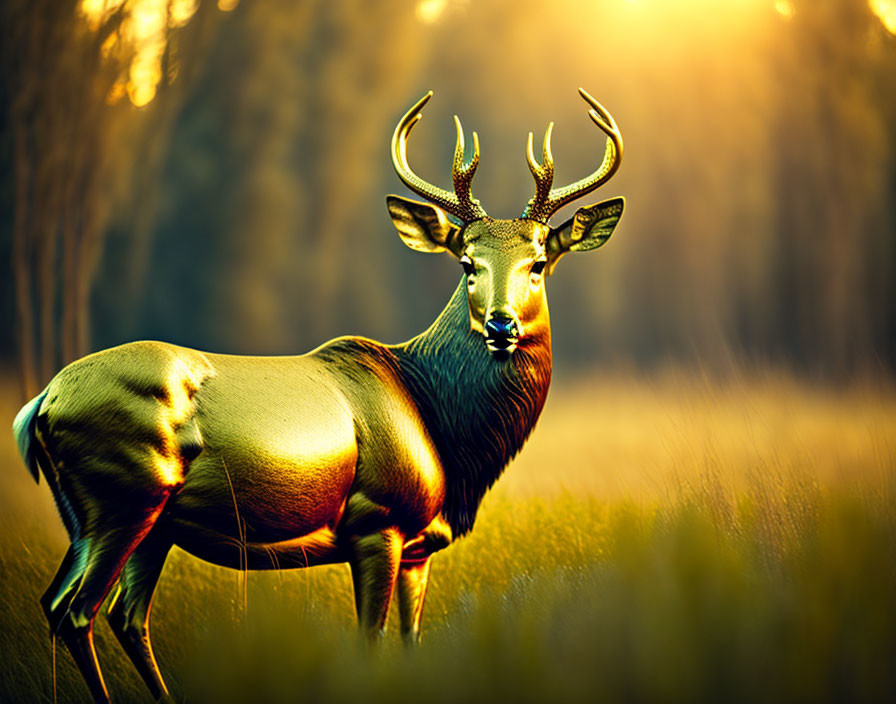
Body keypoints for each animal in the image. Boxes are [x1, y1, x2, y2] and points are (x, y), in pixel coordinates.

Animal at [12, 89, 624, 704]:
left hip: (129, 522)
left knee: (114, 614)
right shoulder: (376, 521)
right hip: (124, 497)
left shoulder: (420, 547)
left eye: (539, 262)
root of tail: (40, 404)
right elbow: (370, 642)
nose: (501, 325)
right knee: (76, 611)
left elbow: (412, 641)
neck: (439, 423)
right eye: (467, 263)